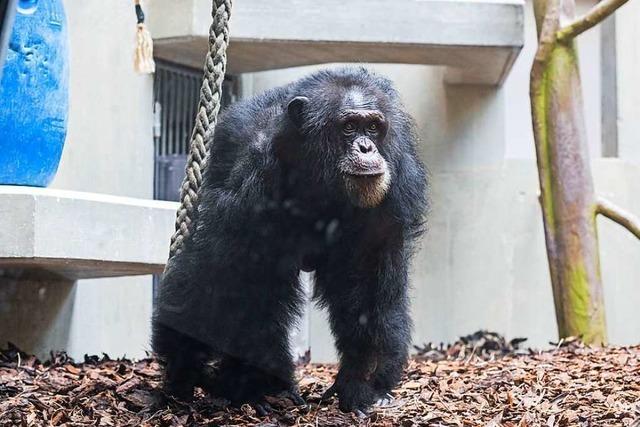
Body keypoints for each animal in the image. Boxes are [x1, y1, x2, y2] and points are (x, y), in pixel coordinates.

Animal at [152, 67, 428, 414]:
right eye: (349, 127)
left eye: (374, 127)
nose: (366, 148)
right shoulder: (254, 170)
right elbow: (239, 279)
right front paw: (254, 385)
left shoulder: (396, 176)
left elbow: (366, 280)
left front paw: (360, 384)